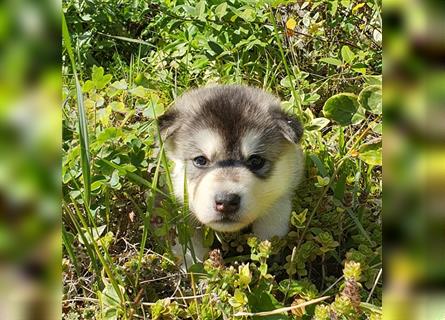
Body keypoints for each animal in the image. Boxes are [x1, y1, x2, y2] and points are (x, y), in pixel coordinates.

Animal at [158, 84, 304, 262]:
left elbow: (272, 225)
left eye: (256, 161)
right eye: (200, 160)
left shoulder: (280, 197)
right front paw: (193, 264)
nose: (226, 202)